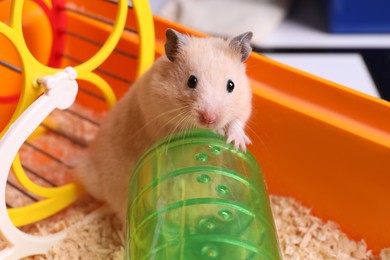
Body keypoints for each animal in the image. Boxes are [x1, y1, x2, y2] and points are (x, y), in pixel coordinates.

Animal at [74, 29, 253, 225]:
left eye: (231, 85)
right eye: (191, 81)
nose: (209, 119)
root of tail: (107, 198)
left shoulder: (244, 106)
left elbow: (237, 122)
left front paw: (237, 143)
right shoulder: (162, 119)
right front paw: (218, 131)